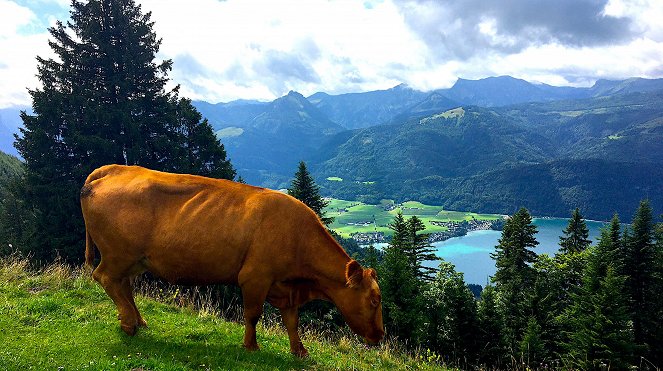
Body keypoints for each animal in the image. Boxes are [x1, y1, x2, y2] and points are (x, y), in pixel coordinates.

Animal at [80, 166, 386, 358]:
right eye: (374, 300)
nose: (380, 335)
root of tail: (113, 169)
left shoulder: (285, 286)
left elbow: (292, 321)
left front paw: (299, 350)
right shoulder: (255, 277)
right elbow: (252, 314)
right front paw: (251, 346)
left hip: (135, 261)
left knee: (125, 287)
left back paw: (139, 320)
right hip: (118, 255)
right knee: (105, 278)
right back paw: (128, 324)